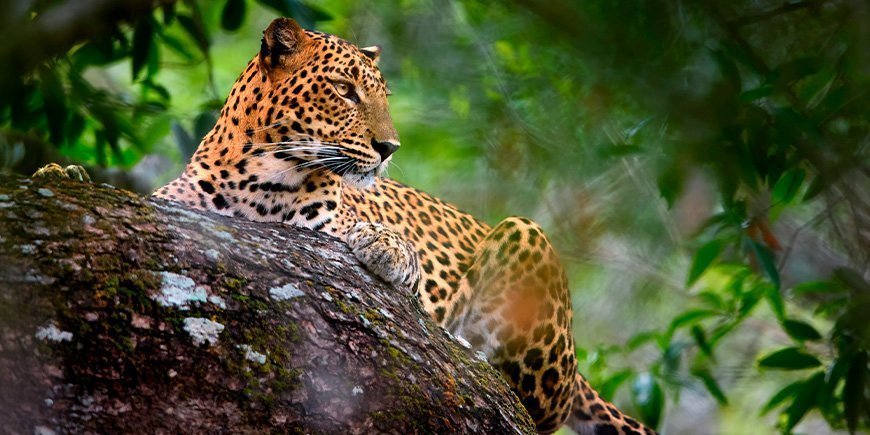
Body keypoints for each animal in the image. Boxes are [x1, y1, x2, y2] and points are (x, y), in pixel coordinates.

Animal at [36, 18, 656, 435]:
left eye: (383, 97)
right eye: (344, 90)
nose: (389, 148)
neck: (255, 175)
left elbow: (356, 232)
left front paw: (386, 246)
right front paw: (60, 170)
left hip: (525, 236)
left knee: (539, 404)